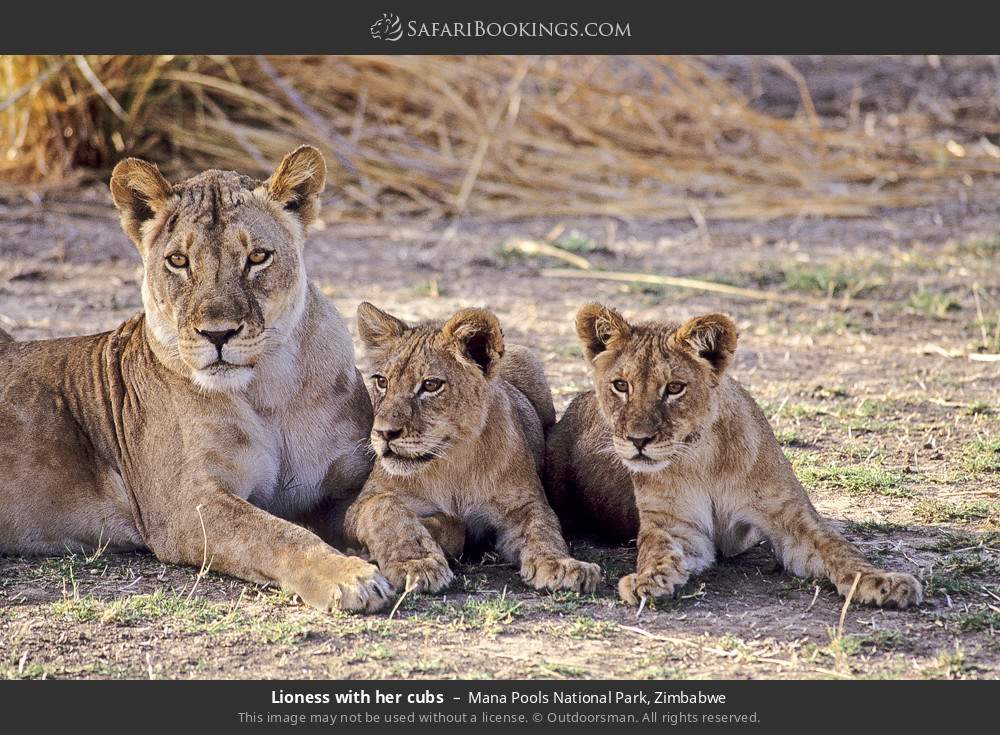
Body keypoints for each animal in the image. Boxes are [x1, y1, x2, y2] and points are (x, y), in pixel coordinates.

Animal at [0, 146, 392, 612]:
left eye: (257, 257)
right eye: (178, 261)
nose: (218, 334)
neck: (268, 390)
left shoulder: (345, 477)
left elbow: (383, 504)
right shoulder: (188, 506)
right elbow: (279, 534)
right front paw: (350, 576)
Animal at [344, 303, 600, 595]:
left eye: (431, 385)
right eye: (382, 382)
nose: (384, 433)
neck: (452, 461)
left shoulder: (524, 504)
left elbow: (543, 529)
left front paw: (563, 565)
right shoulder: (359, 505)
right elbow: (388, 511)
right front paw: (416, 562)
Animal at [545, 303, 923, 608]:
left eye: (675, 388)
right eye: (621, 385)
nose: (639, 441)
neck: (702, 456)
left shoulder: (791, 517)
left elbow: (840, 549)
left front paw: (883, 581)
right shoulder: (678, 528)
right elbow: (657, 550)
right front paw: (648, 580)